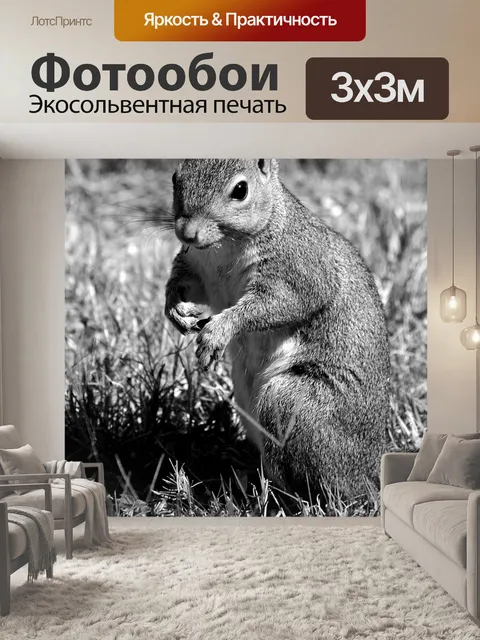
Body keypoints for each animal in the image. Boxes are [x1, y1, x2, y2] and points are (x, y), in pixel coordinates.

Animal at [164, 159, 390, 501]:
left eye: (240, 190)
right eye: (176, 178)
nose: (186, 232)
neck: (223, 247)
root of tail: (368, 477)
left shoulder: (299, 271)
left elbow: (276, 305)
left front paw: (218, 332)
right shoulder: (198, 268)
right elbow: (184, 284)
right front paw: (174, 309)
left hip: (291, 403)